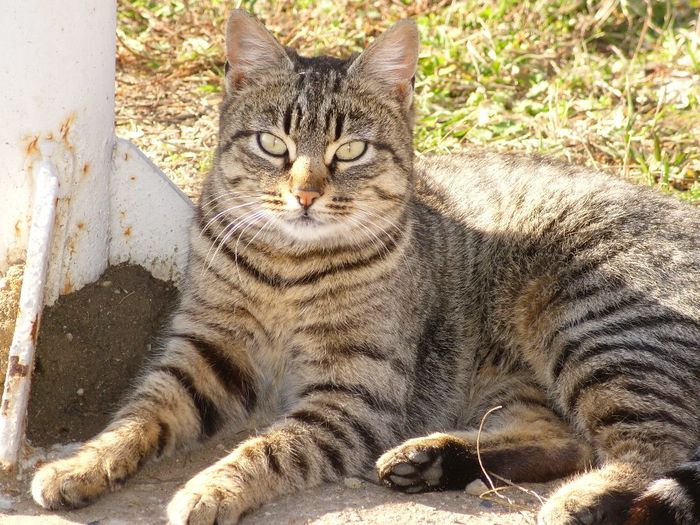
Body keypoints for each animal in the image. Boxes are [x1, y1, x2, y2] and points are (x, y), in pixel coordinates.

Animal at [32, 9, 699, 525]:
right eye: (272, 144)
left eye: (350, 150)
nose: (305, 193)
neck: (288, 266)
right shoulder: (205, 352)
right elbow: (139, 414)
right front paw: (81, 464)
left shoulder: (354, 392)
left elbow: (271, 447)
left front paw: (211, 486)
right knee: (567, 438)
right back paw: (431, 459)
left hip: (595, 331)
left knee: (653, 448)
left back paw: (577, 500)